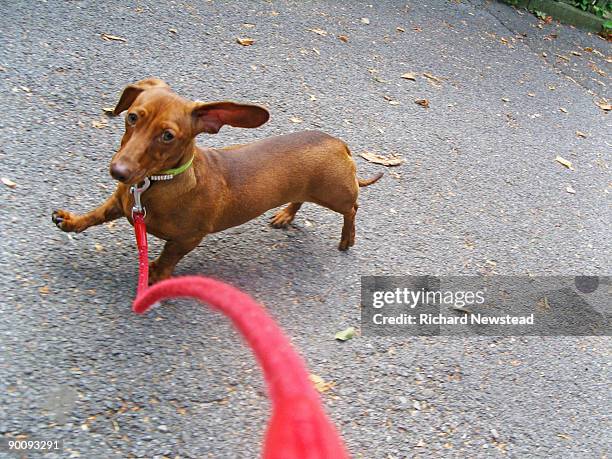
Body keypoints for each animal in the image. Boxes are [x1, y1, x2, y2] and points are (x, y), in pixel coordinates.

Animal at [51, 79, 382, 284]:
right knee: (300, 199)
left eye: (168, 135)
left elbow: (169, 256)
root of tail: (339, 143)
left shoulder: (188, 238)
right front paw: (71, 221)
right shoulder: (119, 204)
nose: (118, 172)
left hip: (335, 195)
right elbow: (94, 216)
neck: (156, 184)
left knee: (353, 209)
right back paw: (286, 215)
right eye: (132, 117)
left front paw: (156, 274)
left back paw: (347, 238)